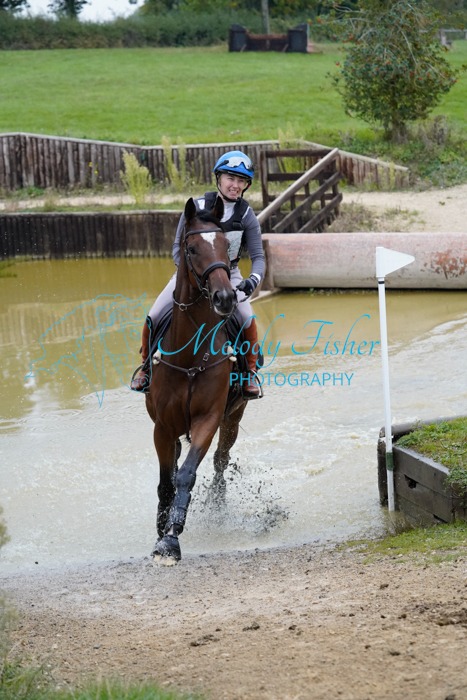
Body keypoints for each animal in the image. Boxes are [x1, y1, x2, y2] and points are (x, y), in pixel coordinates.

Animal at [145, 196, 249, 565]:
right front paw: (161, 529)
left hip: (234, 415)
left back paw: (217, 503)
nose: (225, 298)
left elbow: (186, 475)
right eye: (191, 248)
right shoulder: (162, 426)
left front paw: (171, 537)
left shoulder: (209, 417)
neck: (190, 355)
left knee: (220, 460)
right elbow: (166, 481)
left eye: (224, 244)